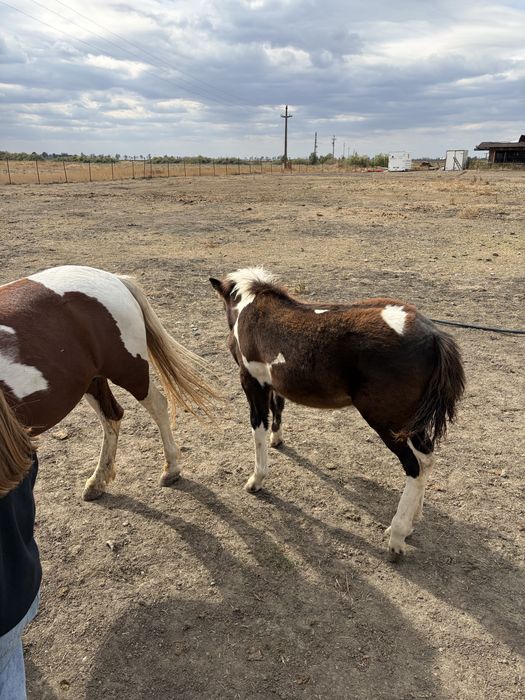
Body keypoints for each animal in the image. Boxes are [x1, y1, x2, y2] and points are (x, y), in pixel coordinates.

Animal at [0, 265, 217, 500]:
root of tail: (114, 278)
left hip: (129, 370)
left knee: (157, 405)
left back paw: (171, 469)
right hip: (92, 380)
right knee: (112, 416)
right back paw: (98, 481)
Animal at [210, 267, 465, 556]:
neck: (251, 307)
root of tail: (433, 336)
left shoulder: (252, 381)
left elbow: (258, 428)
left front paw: (257, 479)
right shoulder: (272, 383)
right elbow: (278, 408)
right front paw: (278, 439)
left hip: (386, 421)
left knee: (414, 466)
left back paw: (397, 536)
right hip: (409, 422)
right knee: (426, 459)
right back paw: (410, 524)